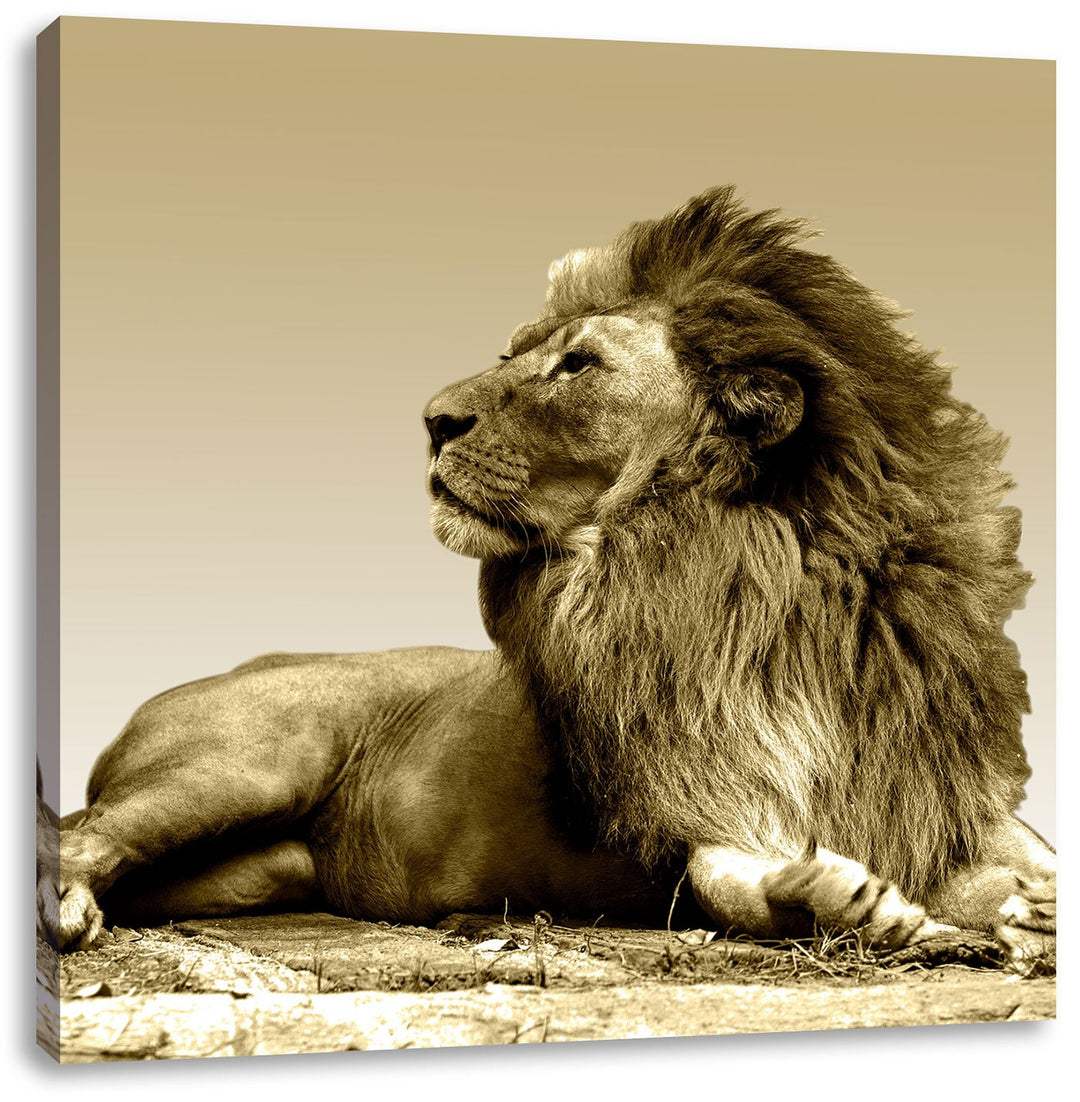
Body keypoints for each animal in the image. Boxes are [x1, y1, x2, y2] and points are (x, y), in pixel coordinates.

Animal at [43, 187, 1055, 972]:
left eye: (579, 364)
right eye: (513, 355)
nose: (432, 419)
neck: (761, 583)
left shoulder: (934, 790)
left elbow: (1019, 856)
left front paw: (1022, 905)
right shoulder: (686, 803)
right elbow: (734, 883)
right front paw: (848, 901)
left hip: (258, 868)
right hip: (253, 758)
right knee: (84, 832)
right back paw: (66, 910)